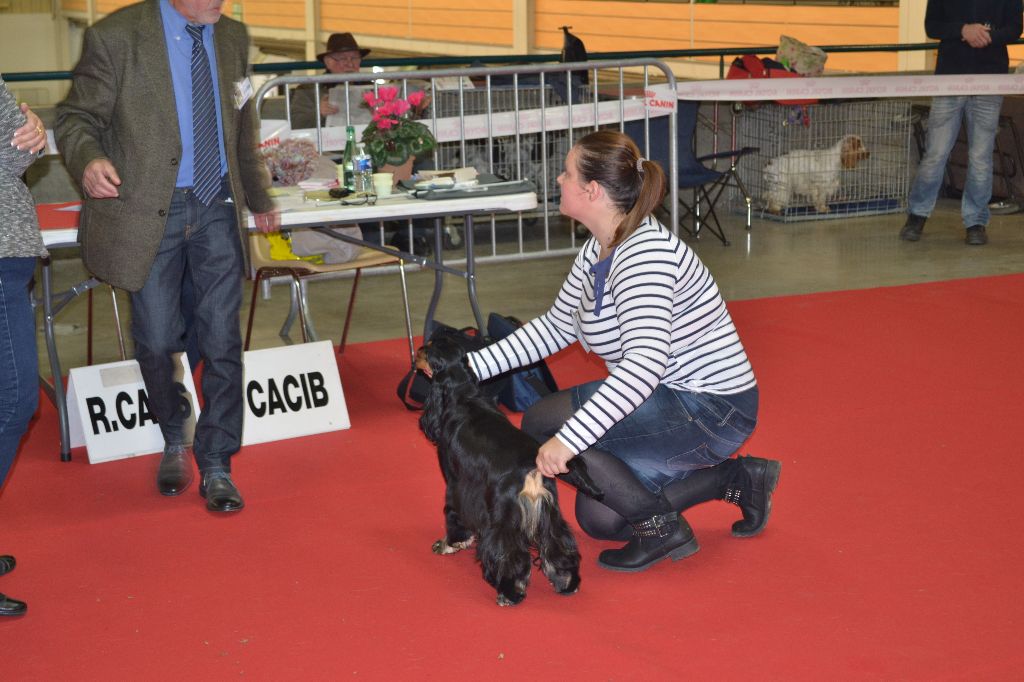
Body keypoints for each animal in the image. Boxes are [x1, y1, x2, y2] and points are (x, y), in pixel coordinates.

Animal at [417, 331, 602, 602]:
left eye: (428, 349)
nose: (416, 353)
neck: (463, 394)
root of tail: (532, 466)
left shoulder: (455, 483)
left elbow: (453, 513)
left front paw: (449, 544)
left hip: (504, 514)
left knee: (508, 551)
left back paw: (509, 591)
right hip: (550, 512)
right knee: (559, 544)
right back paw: (566, 582)